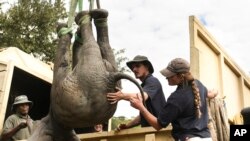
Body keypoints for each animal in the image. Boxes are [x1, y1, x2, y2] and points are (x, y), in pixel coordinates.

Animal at [27, 9, 144, 141]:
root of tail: (110, 77)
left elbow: (63, 63)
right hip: (105, 69)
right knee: (104, 49)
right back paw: (99, 15)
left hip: (87, 73)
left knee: (68, 59)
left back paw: (75, 21)